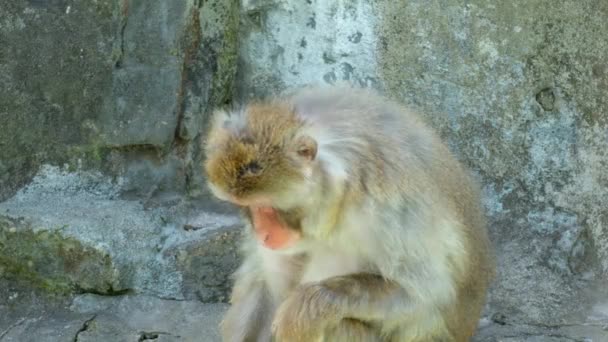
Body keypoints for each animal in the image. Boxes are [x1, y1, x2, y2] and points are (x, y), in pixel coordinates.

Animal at [203, 85, 494, 342]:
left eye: (267, 206)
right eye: (246, 207)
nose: (262, 234)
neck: (341, 197)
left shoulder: (392, 215)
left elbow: (424, 296)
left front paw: (303, 310)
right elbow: (262, 280)